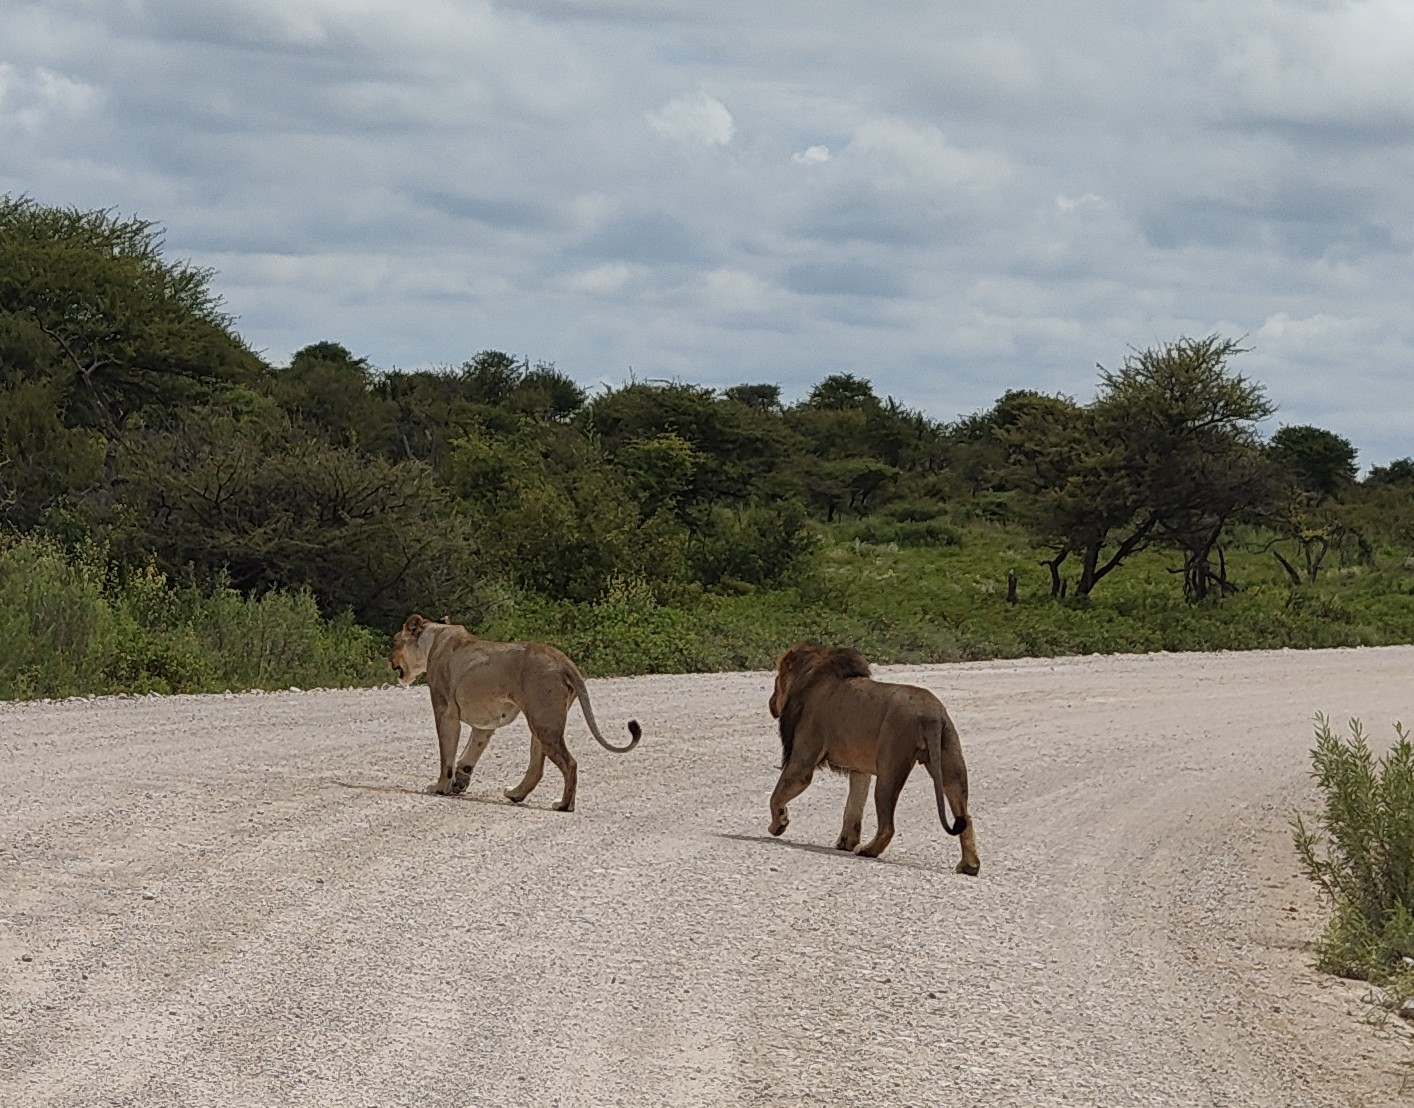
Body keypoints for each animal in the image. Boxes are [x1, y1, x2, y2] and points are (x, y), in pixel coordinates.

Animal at [388, 614, 642, 811]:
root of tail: (562, 659)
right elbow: (470, 752)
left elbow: (446, 755)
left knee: (570, 763)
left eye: (394, 642)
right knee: (538, 767)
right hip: (541, 722)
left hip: (543, 721)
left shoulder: (445, 710)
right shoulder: (486, 723)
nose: (389, 660)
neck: (433, 639)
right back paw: (515, 794)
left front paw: (440, 787)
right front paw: (459, 782)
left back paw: (563, 805)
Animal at [766, 643, 979, 875]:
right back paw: (970, 866)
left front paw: (778, 825)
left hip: (890, 768)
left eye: (776, 680)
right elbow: (854, 805)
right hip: (951, 766)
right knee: (966, 817)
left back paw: (867, 851)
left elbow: (776, 795)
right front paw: (846, 843)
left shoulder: (802, 761)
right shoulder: (860, 771)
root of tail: (932, 715)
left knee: (888, 826)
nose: (770, 702)